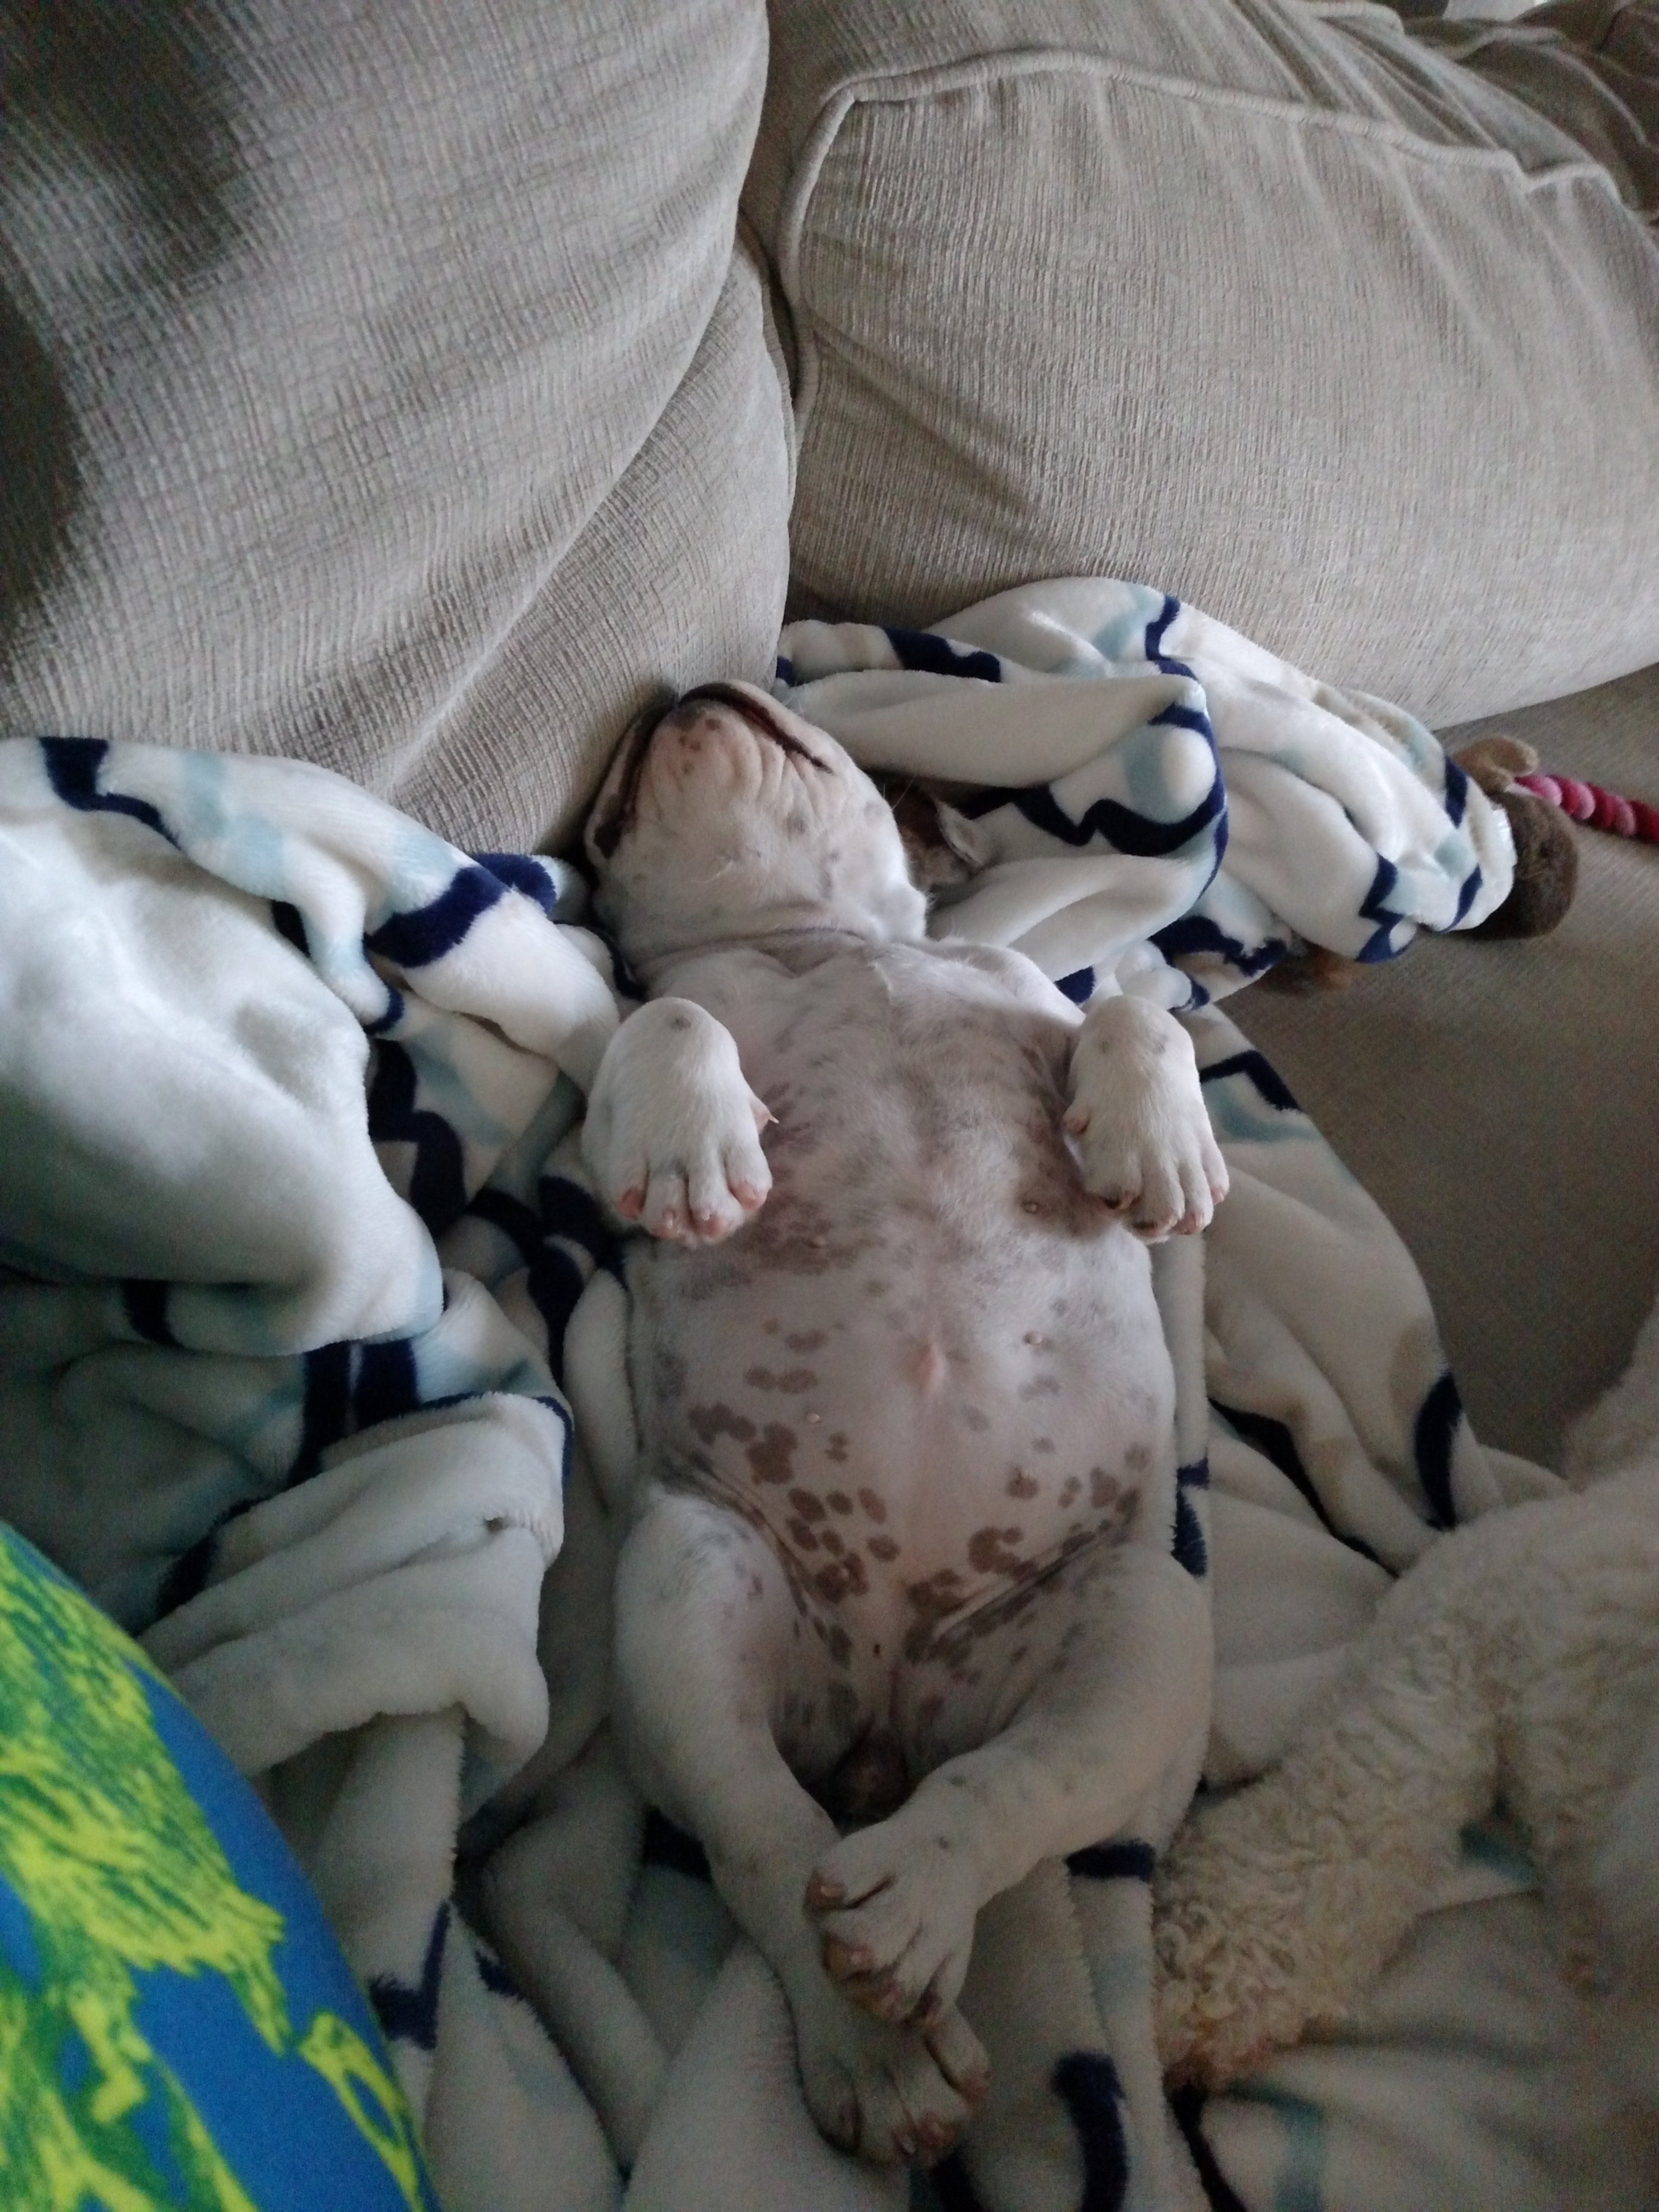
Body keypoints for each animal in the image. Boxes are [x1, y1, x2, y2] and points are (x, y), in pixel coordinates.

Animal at [573, 680, 1225, 2165]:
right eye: (612, 808)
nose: (687, 688)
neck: (818, 945)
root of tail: (881, 1714)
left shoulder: (1033, 995)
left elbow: (1135, 1012)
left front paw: (1158, 1141)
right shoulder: (635, 1036)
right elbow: (672, 1011)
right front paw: (689, 1147)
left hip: (1137, 1626)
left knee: (999, 1793)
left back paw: (914, 1898)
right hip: (690, 1583)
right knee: (767, 1833)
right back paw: (874, 2044)